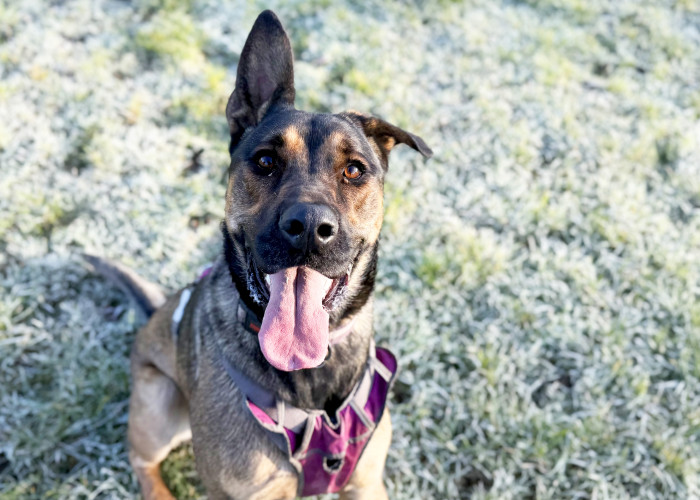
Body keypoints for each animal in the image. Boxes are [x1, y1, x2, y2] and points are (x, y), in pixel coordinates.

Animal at [88, 10, 432, 500]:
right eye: (266, 161)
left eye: (354, 170)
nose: (309, 228)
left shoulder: (366, 482)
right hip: (158, 403)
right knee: (143, 460)